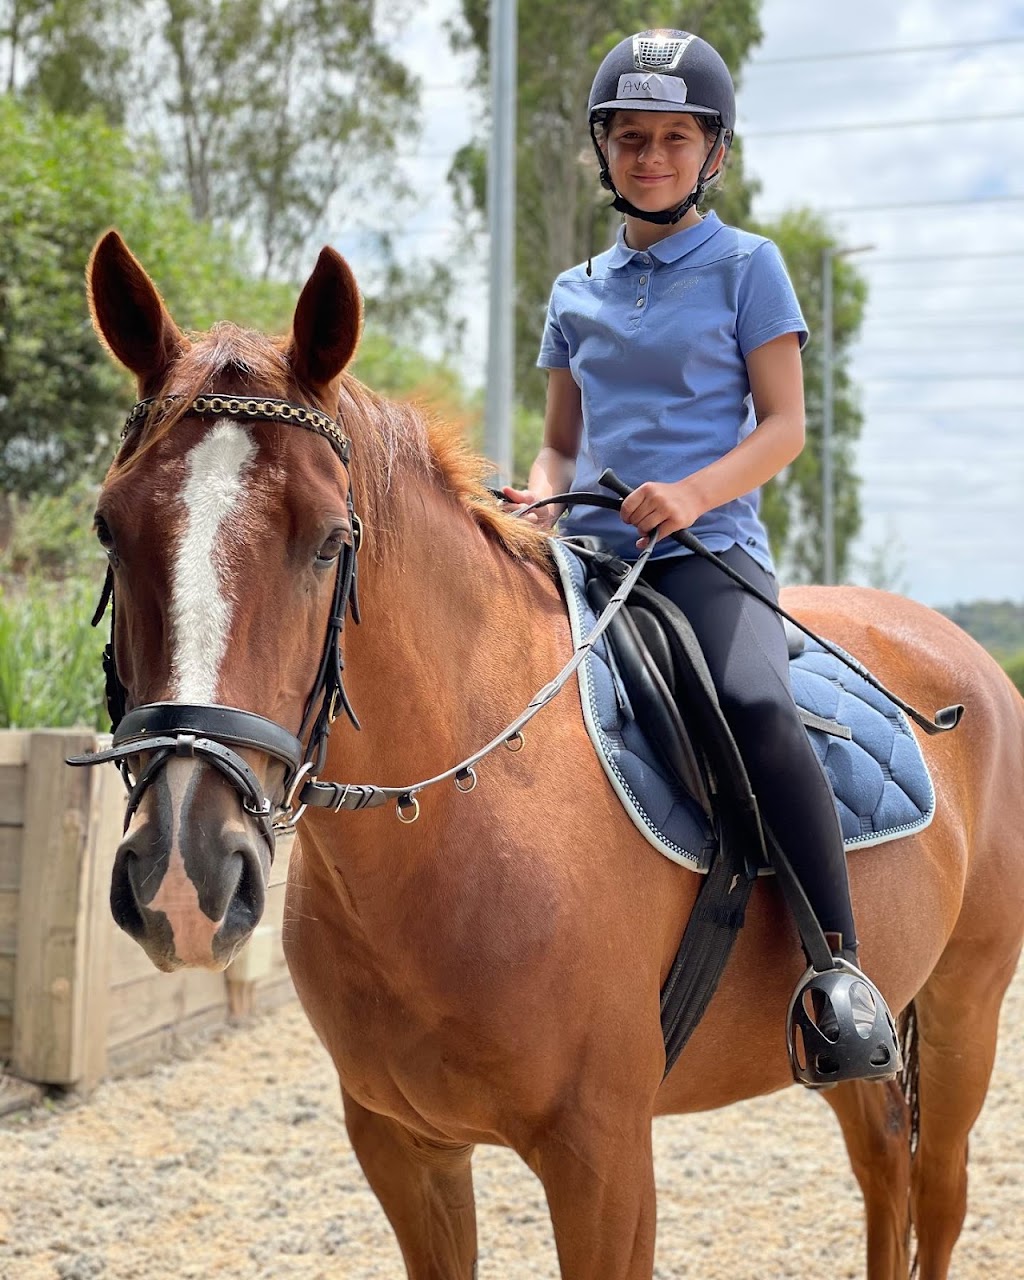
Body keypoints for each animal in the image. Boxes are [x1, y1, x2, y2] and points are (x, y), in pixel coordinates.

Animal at [81, 230, 1024, 1280]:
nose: (184, 876)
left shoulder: (604, 1161)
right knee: (884, 1174)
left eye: (329, 541)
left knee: (937, 1190)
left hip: (963, 1007)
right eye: (110, 528)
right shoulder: (403, 1148)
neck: (466, 820)